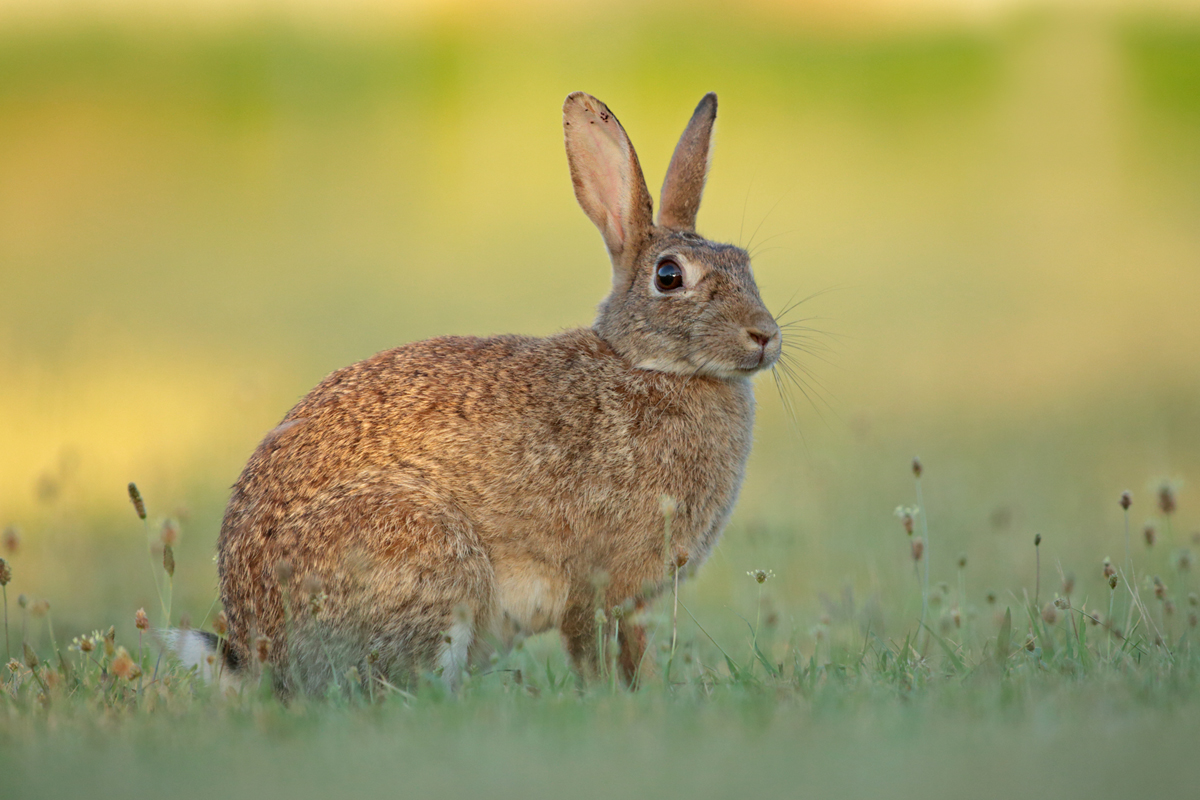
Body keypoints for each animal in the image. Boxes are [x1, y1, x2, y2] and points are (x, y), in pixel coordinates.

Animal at [174, 92, 782, 695]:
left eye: (745, 263)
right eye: (669, 276)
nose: (765, 335)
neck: (651, 365)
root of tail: (262, 654)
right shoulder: (602, 583)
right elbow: (604, 651)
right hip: (428, 555)